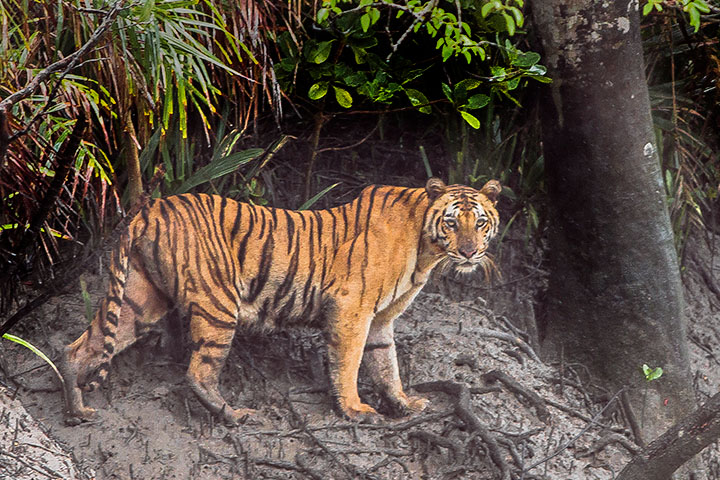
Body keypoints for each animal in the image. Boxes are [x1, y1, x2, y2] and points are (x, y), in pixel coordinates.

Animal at [59, 177, 501, 425]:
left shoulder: (380, 320)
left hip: (140, 300)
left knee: (78, 348)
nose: (469, 252)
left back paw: (76, 410)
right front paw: (355, 410)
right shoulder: (352, 309)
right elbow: (350, 363)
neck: (427, 251)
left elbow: (386, 363)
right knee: (198, 372)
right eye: (451, 222)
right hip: (219, 305)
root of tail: (150, 208)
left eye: (480, 222)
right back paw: (234, 415)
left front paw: (404, 404)